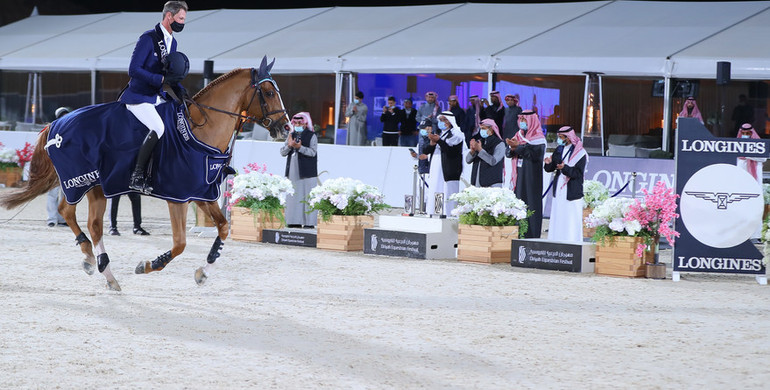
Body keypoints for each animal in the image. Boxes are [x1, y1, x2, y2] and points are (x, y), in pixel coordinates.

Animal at [0, 57, 288, 290]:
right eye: (267, 92)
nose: (286, 128)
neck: (199, 130)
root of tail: (56, 123)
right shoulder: (177, 196)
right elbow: (180, 243)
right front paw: (149, 265)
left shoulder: (200, 193)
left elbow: (224, 228)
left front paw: (203, 273)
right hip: (79, 181)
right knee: (69, 212)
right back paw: (95, 260)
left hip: (97, 186)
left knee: (89, 223)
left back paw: (100, 266)